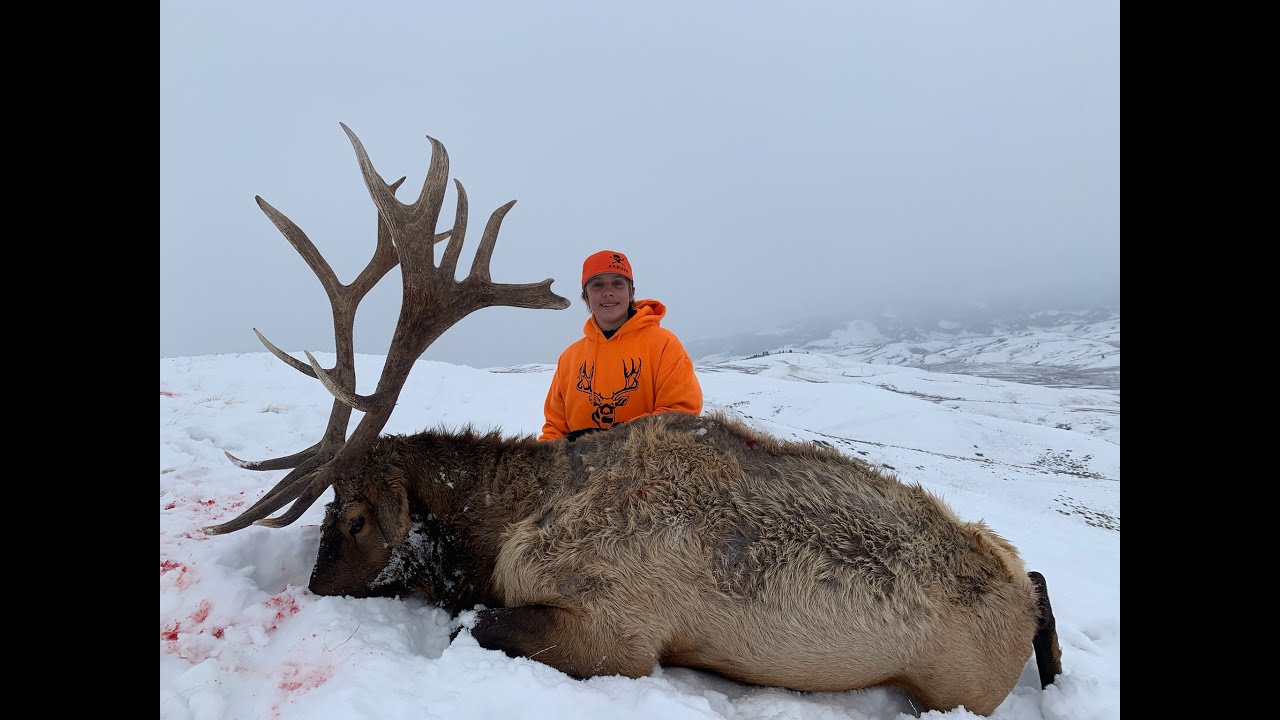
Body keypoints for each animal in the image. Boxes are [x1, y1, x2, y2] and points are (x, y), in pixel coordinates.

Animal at [204, 125, 1063, 715]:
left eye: (351, 516)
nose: (314, 586)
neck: (502, 527)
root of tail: (1015, 594)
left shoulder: (618, 633)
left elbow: (468, 624)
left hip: (956, 683)